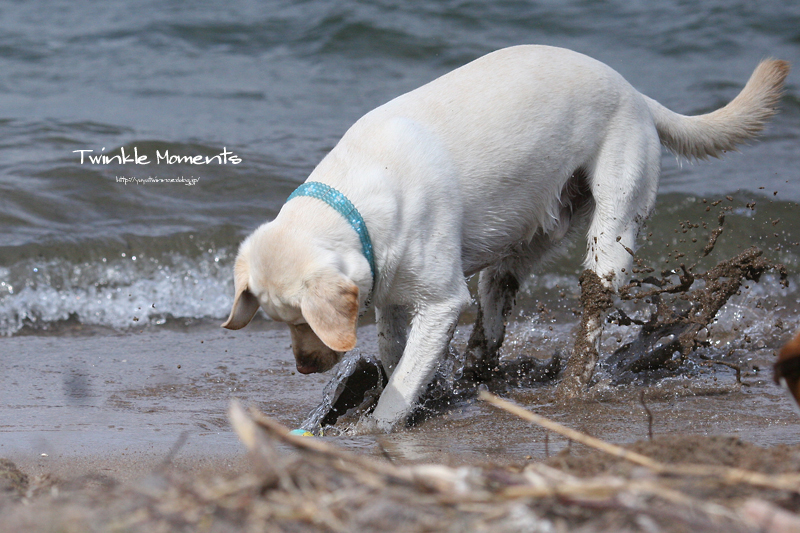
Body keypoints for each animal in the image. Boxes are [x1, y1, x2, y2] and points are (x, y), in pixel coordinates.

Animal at [222, 43, 792, 430]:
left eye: (303, 322)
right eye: (282, 323)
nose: (304, 367)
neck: (355, 200)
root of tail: (636, 94)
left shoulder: (440, 301)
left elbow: (404, 380)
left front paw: (379, 423)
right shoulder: (390, 292)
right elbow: (393, 349)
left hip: (617, 205)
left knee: (597, 291)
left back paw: (572, 384)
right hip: (534, 220)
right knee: (498, 288)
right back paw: (480, 363)